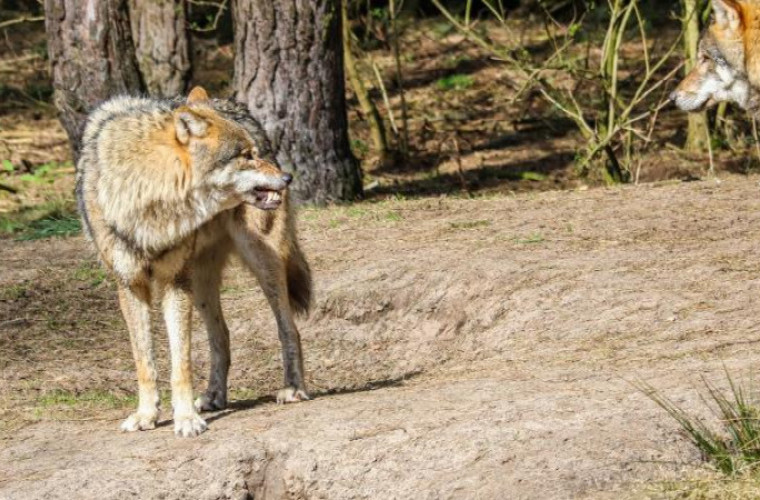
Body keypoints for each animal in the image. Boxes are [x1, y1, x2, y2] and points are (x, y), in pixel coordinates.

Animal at [76, 87, 312, 438]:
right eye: (245, 155)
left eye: (254, 153)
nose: (287, 176)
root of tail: (229, 102)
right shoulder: (131, 286)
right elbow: (144, 361)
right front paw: (146, 414)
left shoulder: (175, 282)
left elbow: (181, 362)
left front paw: (185, 418)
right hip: (201, 284)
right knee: (221, 336)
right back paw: (214, 396)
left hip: (262, 262)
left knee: (289, 329)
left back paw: (293, 388)